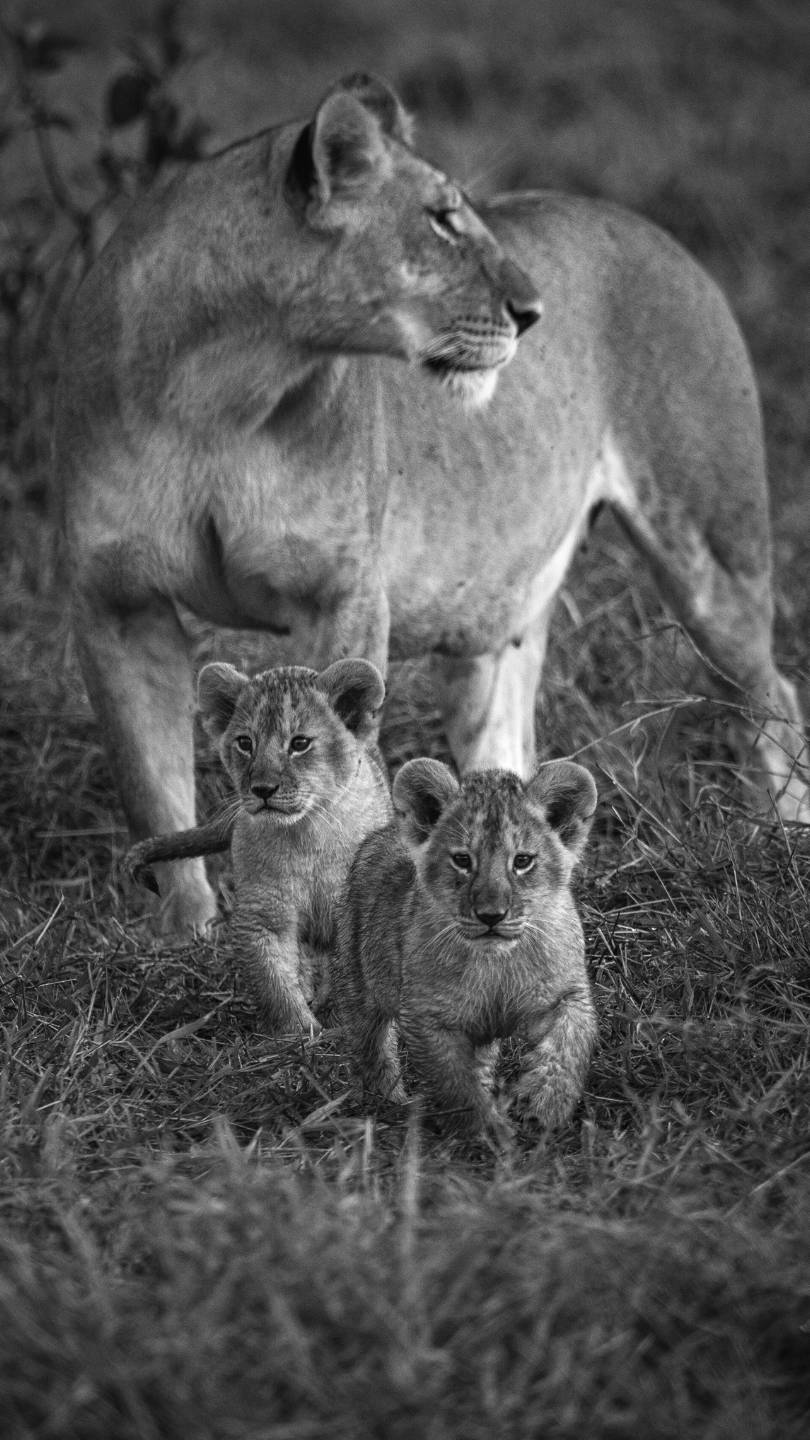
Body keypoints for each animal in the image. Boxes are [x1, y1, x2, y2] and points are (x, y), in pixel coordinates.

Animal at [54, 71, 808, 932]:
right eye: (443, 219)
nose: (534, 313)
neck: (218, 389)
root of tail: (655, 230)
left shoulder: (338, 595)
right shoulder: (117, 603)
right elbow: (153, 786)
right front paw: (185, 936)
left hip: (712, 549)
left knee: (772, 693)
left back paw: (784, 842)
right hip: (497, 614)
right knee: (505, 759)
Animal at [126, 657, 392, 1031]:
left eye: (299, 743)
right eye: (244, 743)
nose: (262, 789)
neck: (306, 835)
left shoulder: (355, 911)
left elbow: (349, 973)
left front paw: (339, 1021)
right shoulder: (263, 914)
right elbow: (274, 980)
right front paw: (300, 1032)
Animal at [332, 758, 598, 1141]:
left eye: (522, 861)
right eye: (462, 860)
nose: (491, 915)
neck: (497, 963)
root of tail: (385, 831)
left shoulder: (564, 994)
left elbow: (569, 1044)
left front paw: (543, 1105)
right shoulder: (427, 1016)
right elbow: (455, 1082)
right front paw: (486, 1130)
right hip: (358, 983)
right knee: (371, 1046)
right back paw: (386, 1102)